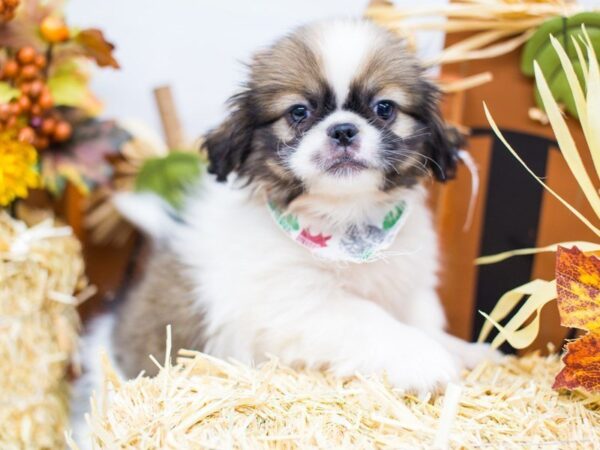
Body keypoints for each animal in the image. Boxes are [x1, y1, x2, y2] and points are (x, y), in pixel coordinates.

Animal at [72, 19, 494, 434]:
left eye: (384, 108)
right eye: (299, 112)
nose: (343, 129)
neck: (349, 222)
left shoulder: (408, 283)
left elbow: (425, 320)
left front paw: (462, 349)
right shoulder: (302, 304)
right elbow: (370, 319)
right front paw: (422, 359)